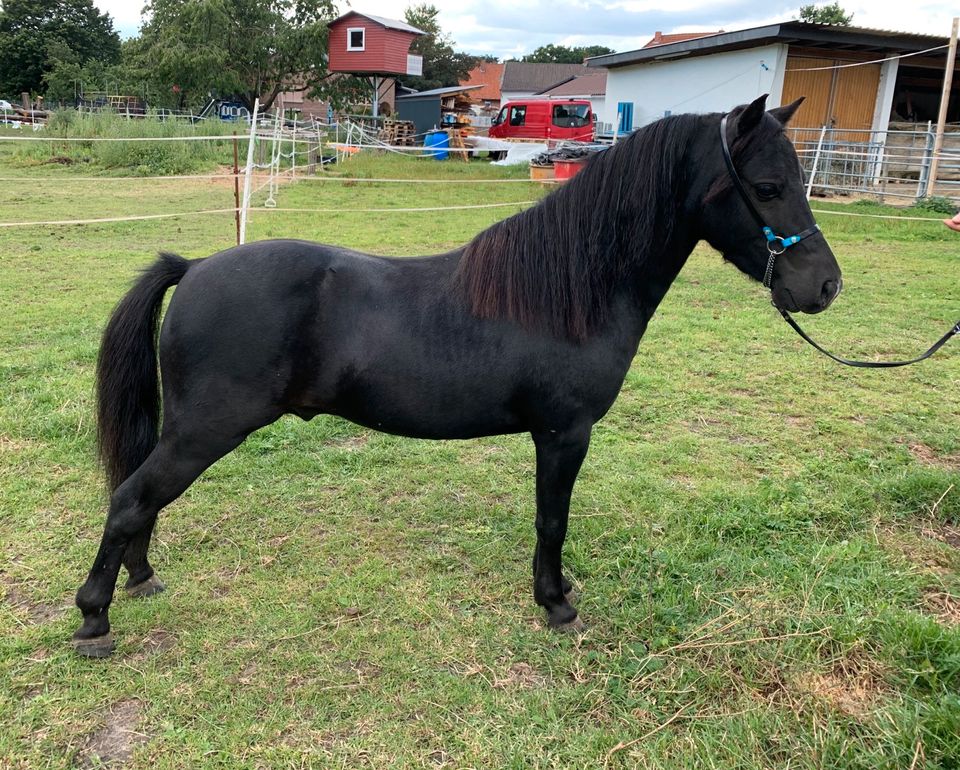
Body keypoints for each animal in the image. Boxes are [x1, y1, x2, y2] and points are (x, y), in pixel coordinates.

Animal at [75, 96, 840, 656]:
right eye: (767, 186)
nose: (825, 286)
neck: (574, 289)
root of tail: (196, 267)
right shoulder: (564, 434)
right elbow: (552, 519)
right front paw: (555, 603)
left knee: (141, 498)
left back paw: (140, 579)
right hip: (205, 431)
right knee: (131, 500)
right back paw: (93, 620)